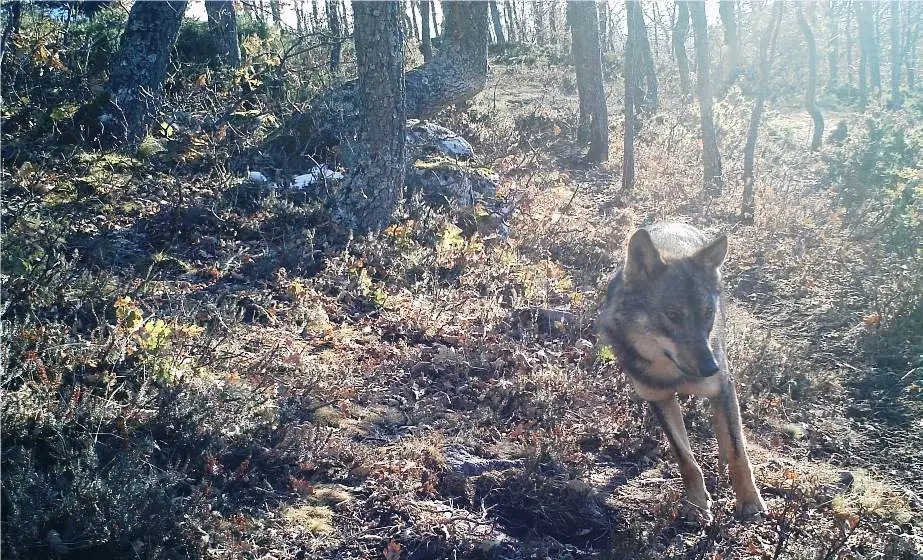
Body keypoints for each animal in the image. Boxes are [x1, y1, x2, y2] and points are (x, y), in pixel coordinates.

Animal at [600, 222, 764, 520]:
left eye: (707, 312)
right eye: (673, 315)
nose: (711, 368)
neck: (672, 373)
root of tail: (676, 222)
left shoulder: (723, 385)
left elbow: (738, 451)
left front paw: (749, 501)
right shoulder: (658, 398)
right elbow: (685, 457)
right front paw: (697, 504)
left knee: (727, 429)